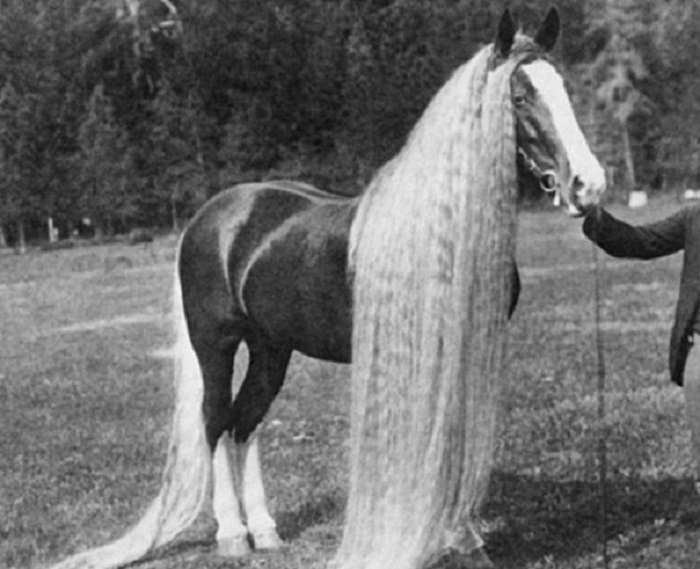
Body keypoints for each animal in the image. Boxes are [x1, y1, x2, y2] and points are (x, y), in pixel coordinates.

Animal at [50, 8, 605, 569]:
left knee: (245, 421)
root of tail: (209, 216)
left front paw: (464, 537)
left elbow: (455, 436)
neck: (441, 229)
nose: (588, 185)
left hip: (271, 348)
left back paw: (265, 532)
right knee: (215, 421)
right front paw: (447, 538)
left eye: (564, 88)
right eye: (521, 96)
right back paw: (232, 535)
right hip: (216, 345)